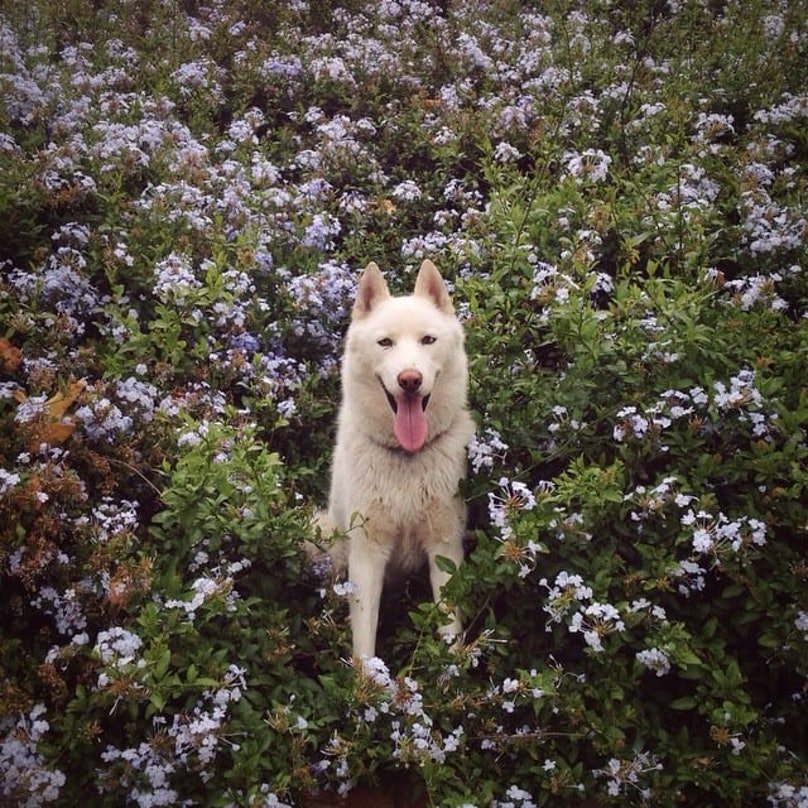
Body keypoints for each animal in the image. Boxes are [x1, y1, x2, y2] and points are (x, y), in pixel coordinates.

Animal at [320, 262, 476, 660]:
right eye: (385, 343)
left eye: (428, 340)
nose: (409, 380)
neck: (407, 458)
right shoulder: (366, 555)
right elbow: (363, 641)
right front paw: (367, 677)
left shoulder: (444, 548)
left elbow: (449, 629)